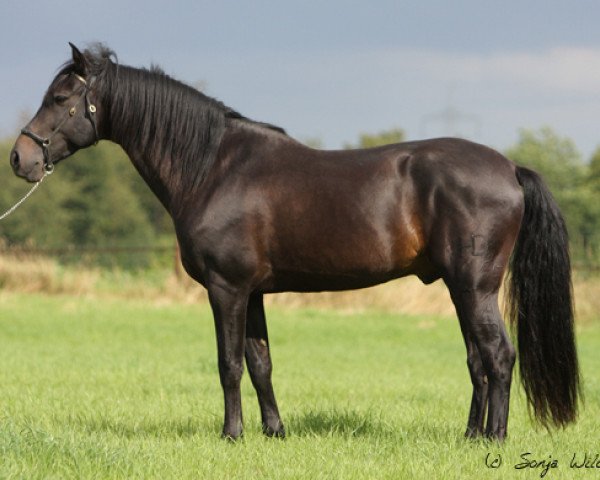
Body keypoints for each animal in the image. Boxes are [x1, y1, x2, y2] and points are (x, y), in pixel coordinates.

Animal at [10, 43, 580, 440]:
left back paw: (495, 440)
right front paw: (274, 431)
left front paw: (231, 434)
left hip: (475, 287)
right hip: (460, 289)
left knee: (498, 356)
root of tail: (509, 168)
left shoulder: (226, 288)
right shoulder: (253, 292)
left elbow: (229, 363)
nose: (21, 158)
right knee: (477, 362)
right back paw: (469, 436)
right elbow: (260, 362)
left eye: (60, 99)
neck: (213, 167)